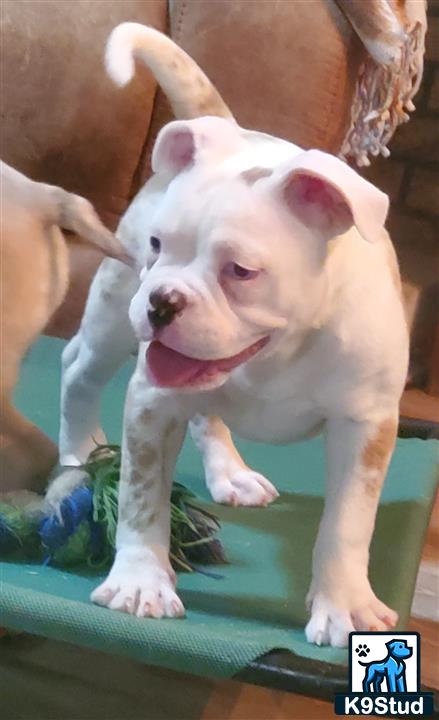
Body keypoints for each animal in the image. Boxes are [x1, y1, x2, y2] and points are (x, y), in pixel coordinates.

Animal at [50, 25, 410, 648]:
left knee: (205, 413)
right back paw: (78, 449)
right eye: (156, 245)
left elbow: (347, 523)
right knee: (79, 368)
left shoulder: (364, 427)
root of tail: (227, 125)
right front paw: (141, 582)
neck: (279, 354)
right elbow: (143, 497)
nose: (162, 301)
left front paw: (344, 605)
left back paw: (231, 472)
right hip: (111, 319)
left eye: (240, 271)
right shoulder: (152, 401)